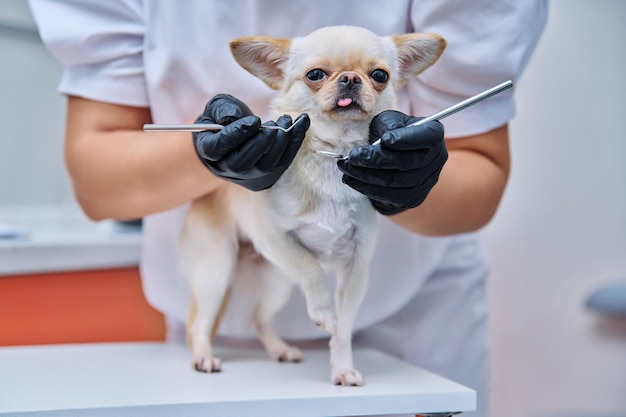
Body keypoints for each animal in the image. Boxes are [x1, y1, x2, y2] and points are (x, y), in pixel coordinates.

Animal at [178, 25, 446, 384]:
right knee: (199, 324)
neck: (333, 155)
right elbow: (313, 269)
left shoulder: (356, 268)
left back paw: (279, 349)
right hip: (216, 272)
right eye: (315, 75)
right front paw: (323, 313)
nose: (350, 78)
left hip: (276, 281)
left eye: (380, 75)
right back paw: (204, 356)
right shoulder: (275, 239)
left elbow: (343, 327)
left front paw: (343, 367)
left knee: (257, 318)